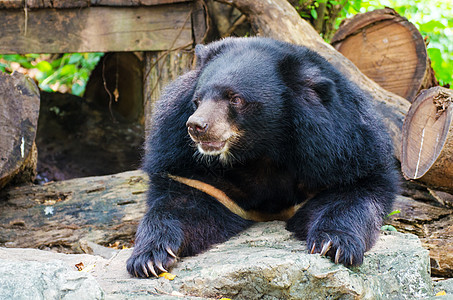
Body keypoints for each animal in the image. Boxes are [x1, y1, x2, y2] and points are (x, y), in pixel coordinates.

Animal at [125, 37, 394, 278]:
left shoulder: (343, 148)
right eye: (197, 100)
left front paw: (334, 246)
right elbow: (179, 204)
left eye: (235, 99)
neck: (260, 150)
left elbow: (351, 194)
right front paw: (148, 259)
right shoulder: (190, 167)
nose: (196, 126)